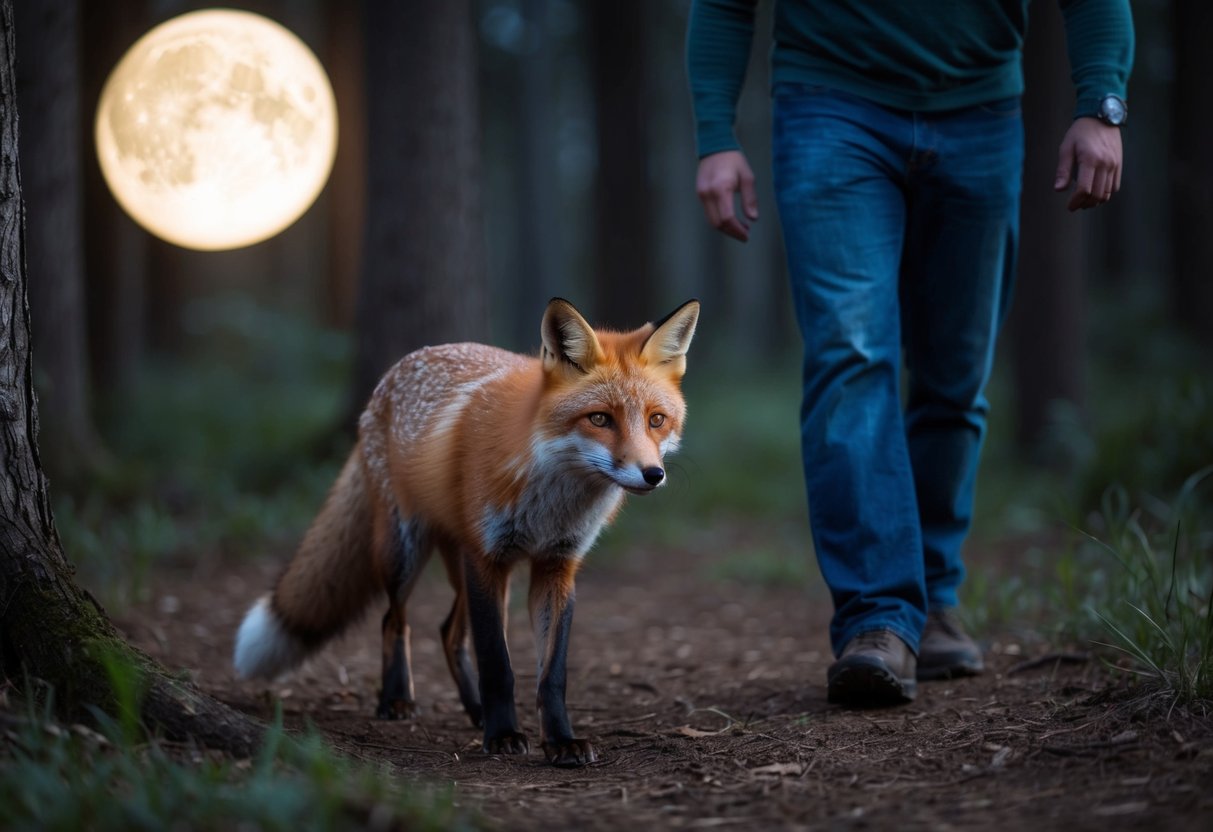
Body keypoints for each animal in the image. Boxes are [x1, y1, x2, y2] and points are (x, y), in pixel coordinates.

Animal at [233, 297, 699, 766]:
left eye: (656, 420)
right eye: (600, 419)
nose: (652, 474)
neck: (550, 501)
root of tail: (393, 374)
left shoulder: (556, 565)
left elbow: (551, 674)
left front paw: (560, 741)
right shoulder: (487, 558)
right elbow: (497, 662)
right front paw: (504, 734)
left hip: (477, 571)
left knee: (448, 632)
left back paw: (475, 710)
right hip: (405, 552)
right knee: (394, 620)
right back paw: (397, 700)